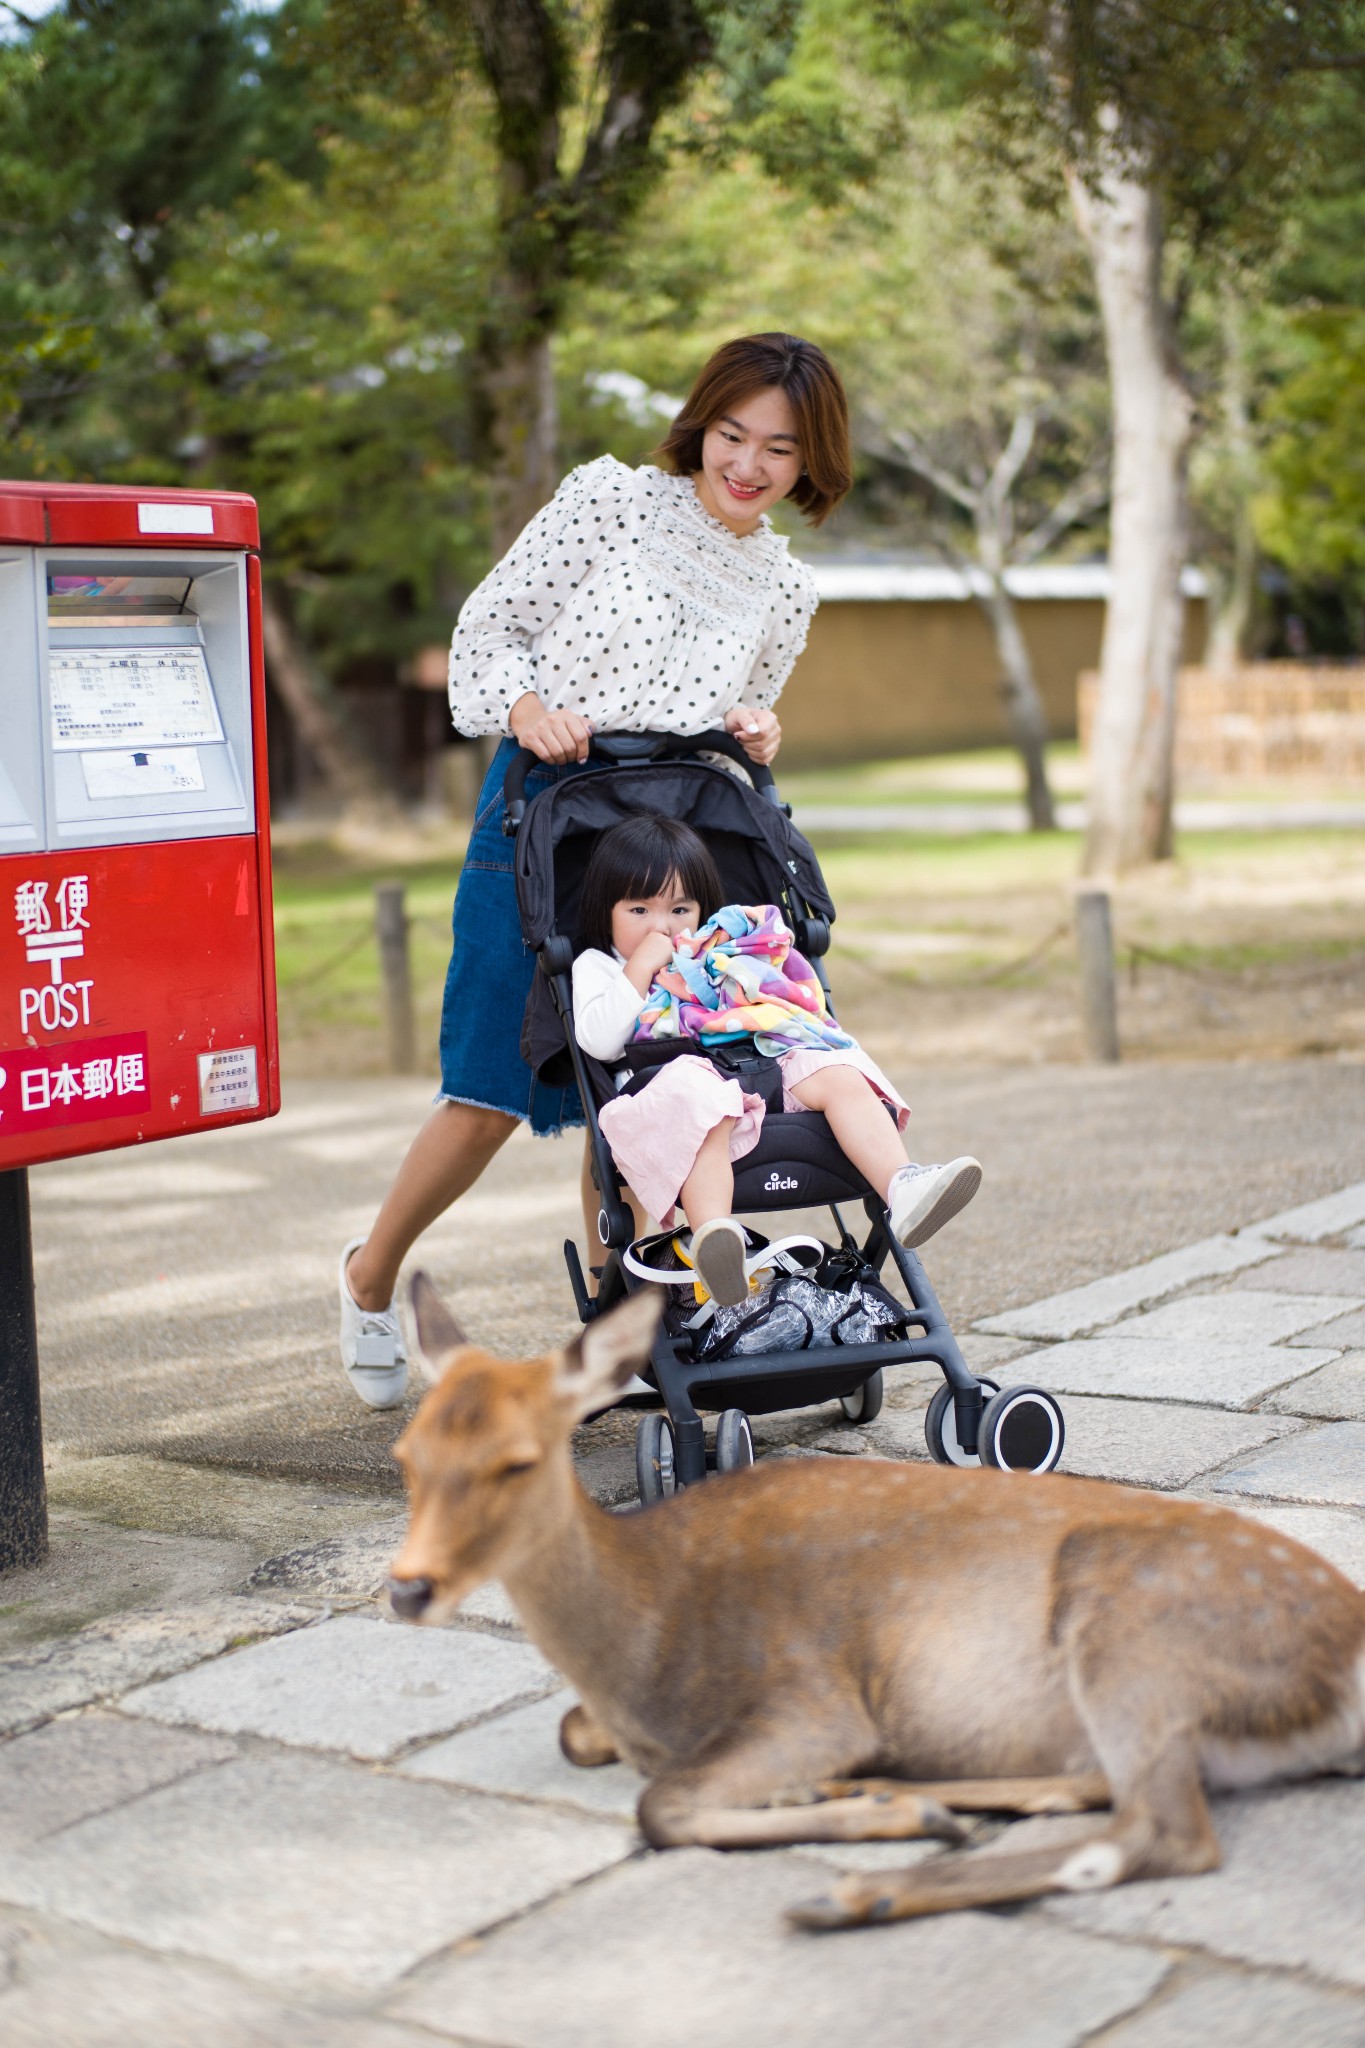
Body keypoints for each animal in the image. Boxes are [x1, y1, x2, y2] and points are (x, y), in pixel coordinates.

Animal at [384, 1269, 1365, 1925]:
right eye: (408, 1455)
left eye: (517, 1461)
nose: (407, 1589)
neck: (646, 1650)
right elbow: (574, 1732)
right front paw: (824, 1800)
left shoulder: (809, 1700)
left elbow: (659, 1807)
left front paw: (839, 1808)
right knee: (1101, 1787)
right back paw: (894, 1802)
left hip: (1135, 1630)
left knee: (1164, 1831)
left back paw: (858, 1886)